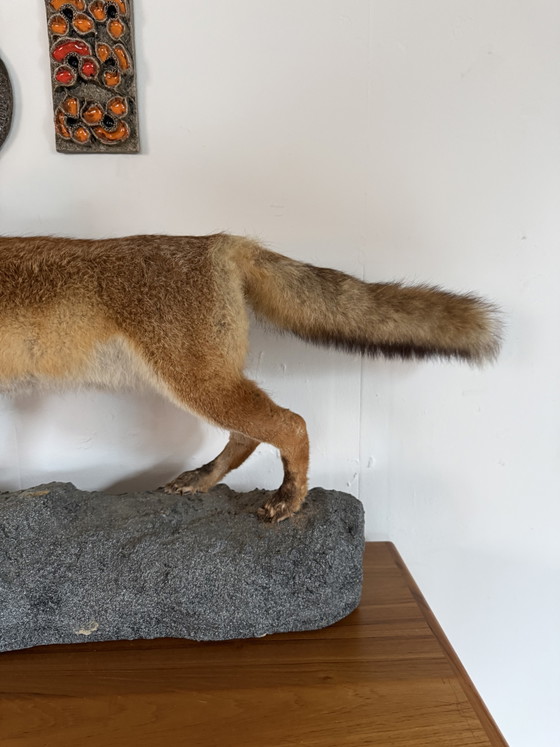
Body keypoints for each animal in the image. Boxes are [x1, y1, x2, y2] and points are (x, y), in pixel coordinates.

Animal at [0, 233, 501, 521]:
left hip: (197, 382)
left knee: (291, 424)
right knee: (249, 435)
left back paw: (290, 499)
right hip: (207, 380)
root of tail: (220, 240)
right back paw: (204, 480)